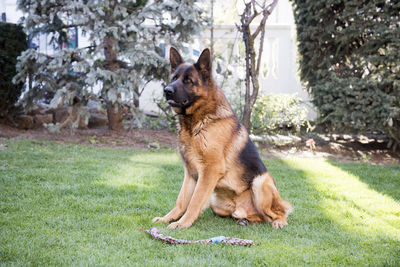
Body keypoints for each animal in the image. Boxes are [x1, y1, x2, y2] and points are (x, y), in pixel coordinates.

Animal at [152, 47, 292, 229]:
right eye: (174, 78)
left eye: (188, 81)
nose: (167, 90)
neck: (196, 123)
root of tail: (240, 207)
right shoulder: (190, 173)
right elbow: (181, 200)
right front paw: (167, 218)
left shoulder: (210, 170)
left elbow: (194, 201)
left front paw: (182, 223)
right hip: (216, 203)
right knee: (259, 217)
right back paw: (245, 220)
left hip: (260, 181)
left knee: (278, 212)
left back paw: (279, 221)